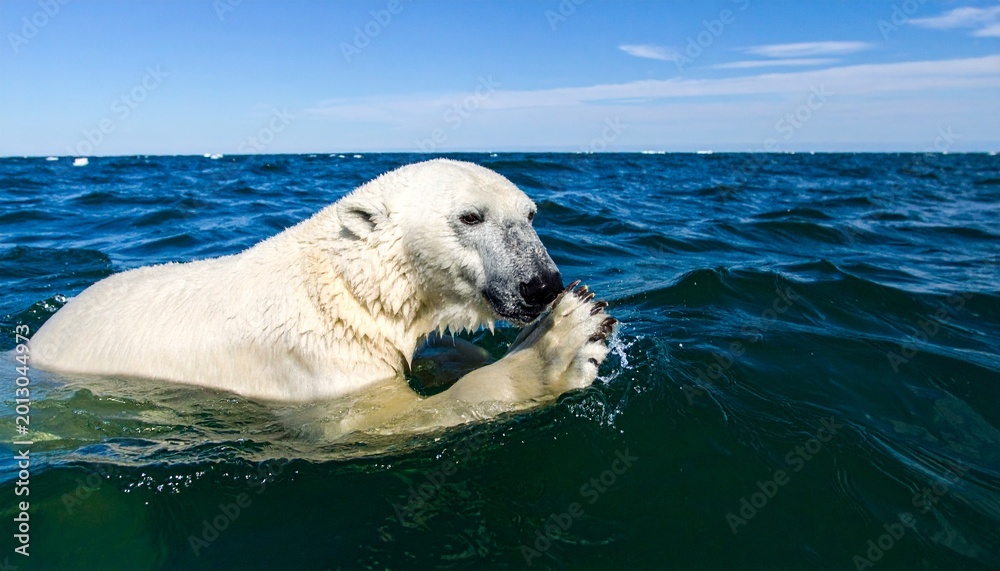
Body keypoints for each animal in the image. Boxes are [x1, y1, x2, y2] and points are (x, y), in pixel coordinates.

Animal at [29, 159, 615, 432]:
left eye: (531, 215)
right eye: (471, 217)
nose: (542, 284)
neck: (345, 286)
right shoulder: (317, 363)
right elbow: (385, 421)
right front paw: (561, 344)